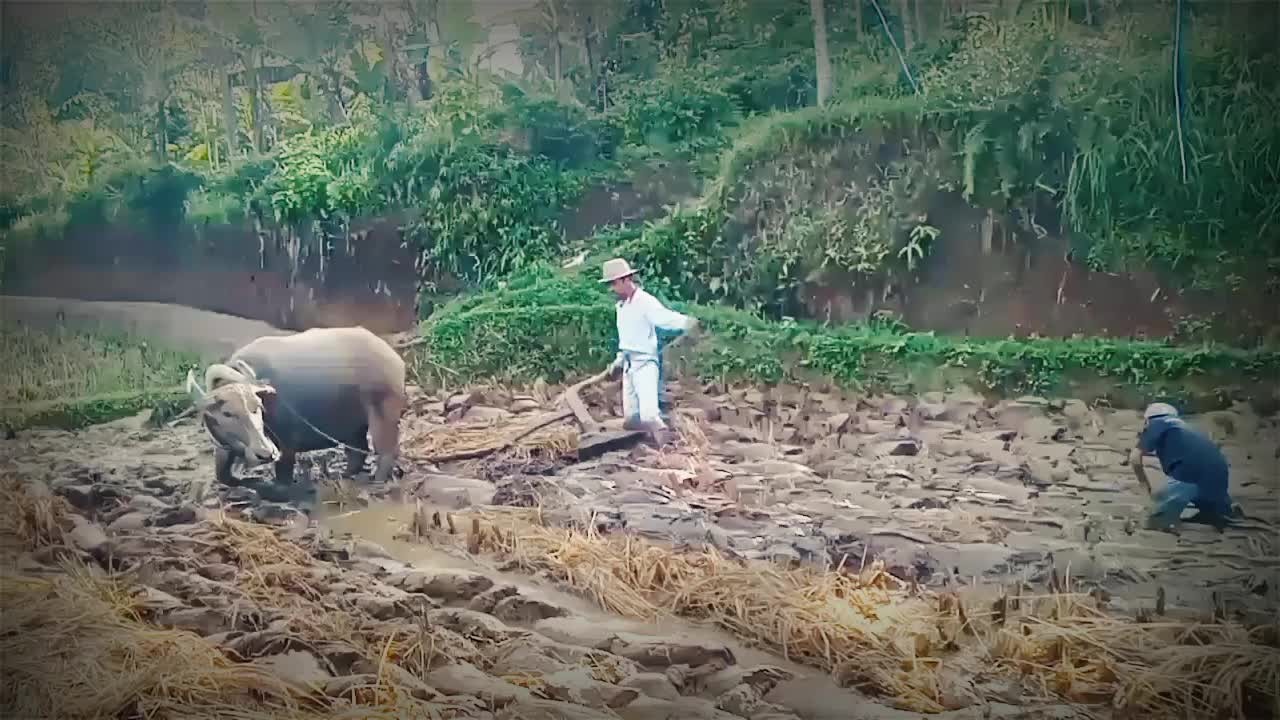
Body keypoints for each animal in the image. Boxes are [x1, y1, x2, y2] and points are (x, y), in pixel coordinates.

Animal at [186, 327, 407, 484]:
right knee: (357, 451)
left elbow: (283, 475)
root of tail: (393, 357)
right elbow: (222, 476)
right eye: (227, 413)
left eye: (257, 406)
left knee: (387, 450)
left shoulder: (286, 444)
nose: (266, 453)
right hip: (354, 426)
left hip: (383, 414)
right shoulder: (222, 448)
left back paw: (377, 479)